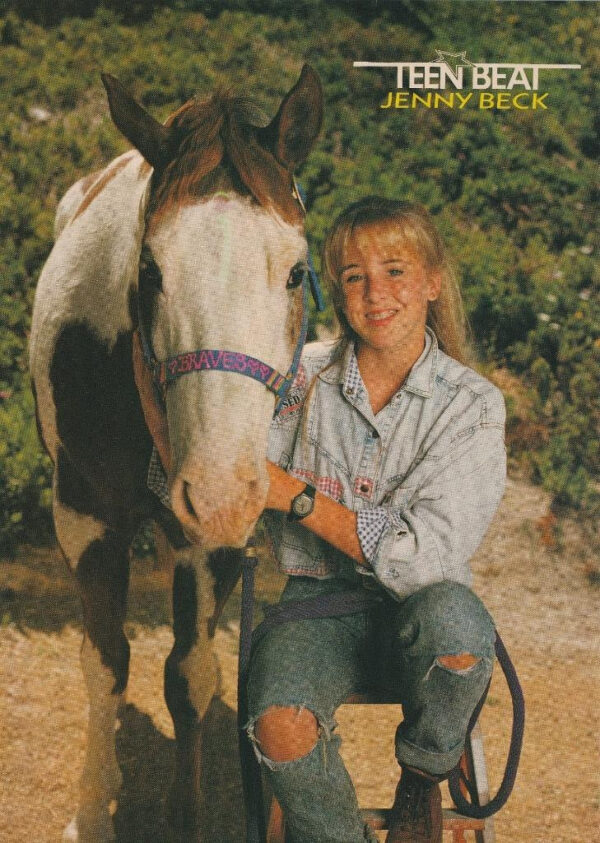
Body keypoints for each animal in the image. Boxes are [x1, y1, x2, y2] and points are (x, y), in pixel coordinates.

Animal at [29, 62, 324, 840]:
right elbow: (106, 662)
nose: (219, 490)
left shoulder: (210, 540)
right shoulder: (85, 518)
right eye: (151, 271)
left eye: (295, 270)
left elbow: (189, 677)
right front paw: (91, 811)